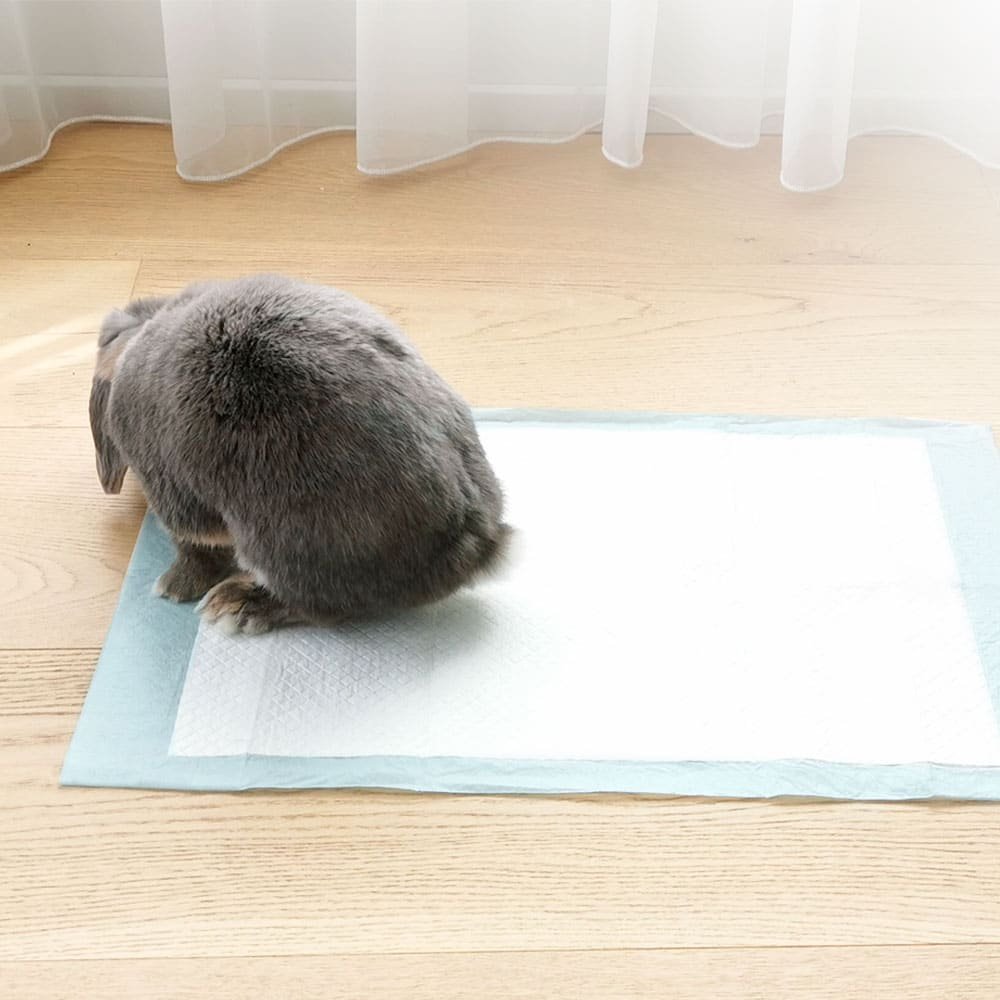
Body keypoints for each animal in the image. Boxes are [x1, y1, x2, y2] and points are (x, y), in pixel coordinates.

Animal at [89, 274, 510, 635]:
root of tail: (473, 540)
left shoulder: (174, 494)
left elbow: (196, 545)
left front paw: (174, 585)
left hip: (288, 545)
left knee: (324, 609)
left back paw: (238, 606)